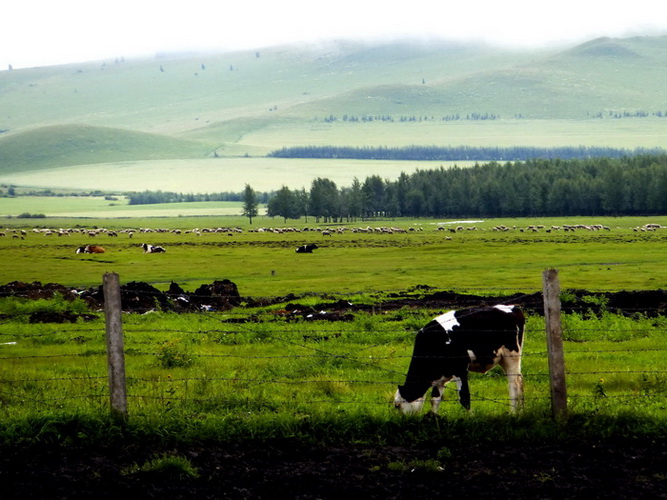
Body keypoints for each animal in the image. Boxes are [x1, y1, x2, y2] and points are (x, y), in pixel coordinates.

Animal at [394, 304, 524, 414]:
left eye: (397, 406)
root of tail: (513, 307)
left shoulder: (460, 369)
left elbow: (464, 397)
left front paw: (471, 418)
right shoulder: (439, 378)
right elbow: (435, 399)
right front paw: (434, 418)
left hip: (511, 357)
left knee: (514, 384)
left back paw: (513, 413)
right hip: (504, 360)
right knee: (520, 382)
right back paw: (521, 411)